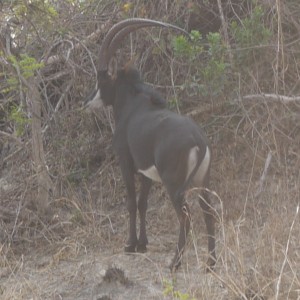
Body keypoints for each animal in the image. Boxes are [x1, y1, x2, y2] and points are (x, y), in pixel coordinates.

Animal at [86, 18, 216, 272]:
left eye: (101, 78)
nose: (88, 102)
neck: (133, 105)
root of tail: (198, 139)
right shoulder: (146, 172)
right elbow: (143, 203)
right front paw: (142, 244)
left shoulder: (126, 163)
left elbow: (131, 202)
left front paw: (130, 245)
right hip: (202, 180)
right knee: (208, 212)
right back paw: (210, 264)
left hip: (173, 183)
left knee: (186, 217)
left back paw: (175, 262)